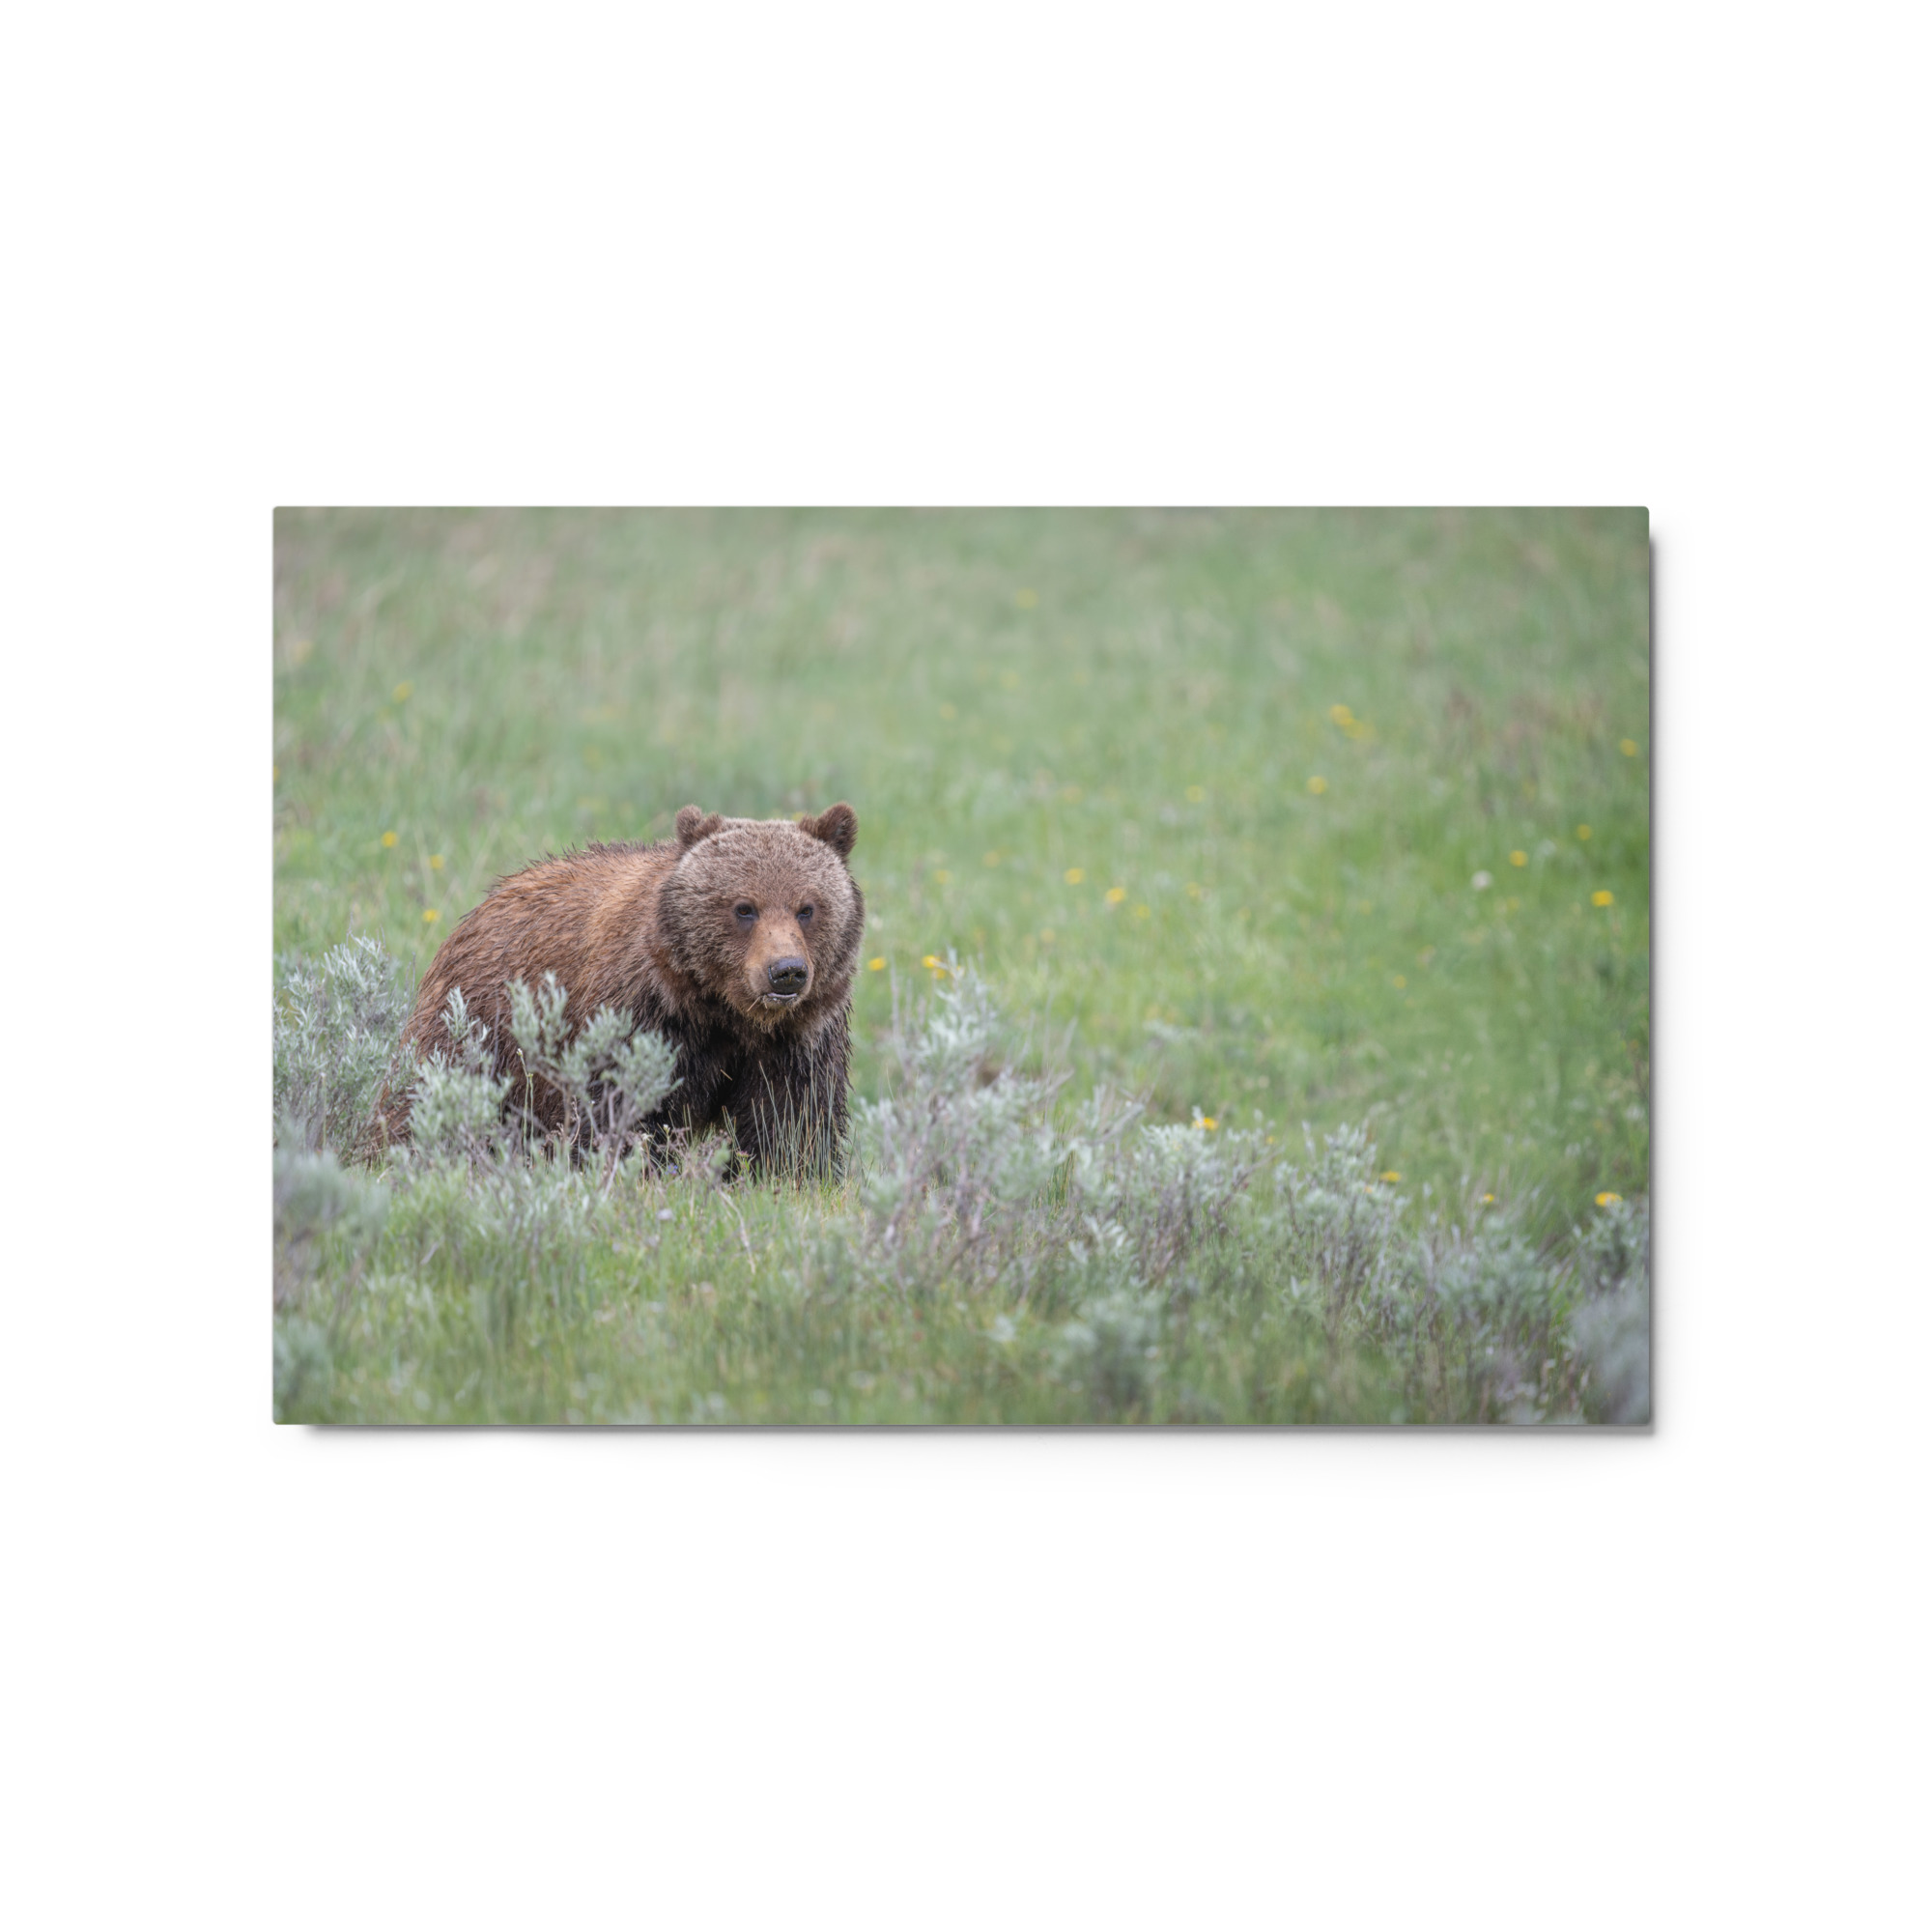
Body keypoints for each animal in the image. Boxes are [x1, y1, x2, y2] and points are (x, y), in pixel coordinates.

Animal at [380, 802, 864, 1174]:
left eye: (807, 908)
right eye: (744, 907)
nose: (786, 971)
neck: (723, 1011)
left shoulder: (798, 1038)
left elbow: (790, 1121)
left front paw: (784, 1175)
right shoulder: (641, 1015)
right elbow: (617, 1108)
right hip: (478, 1025)